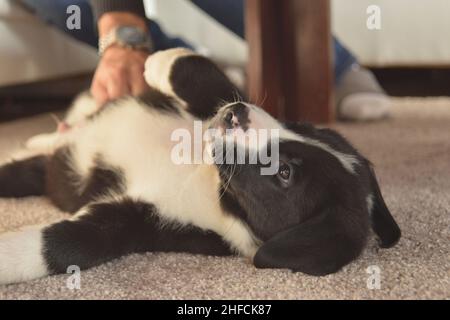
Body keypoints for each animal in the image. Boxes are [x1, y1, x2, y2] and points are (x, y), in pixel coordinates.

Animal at [0, 48, 400, 284]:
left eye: (285, 173)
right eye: (301, 126)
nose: (236, 115)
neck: (207, 177)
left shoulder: (146, 221)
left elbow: (71, 244)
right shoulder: (210, 107)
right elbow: (204, 75)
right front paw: (158, 61)